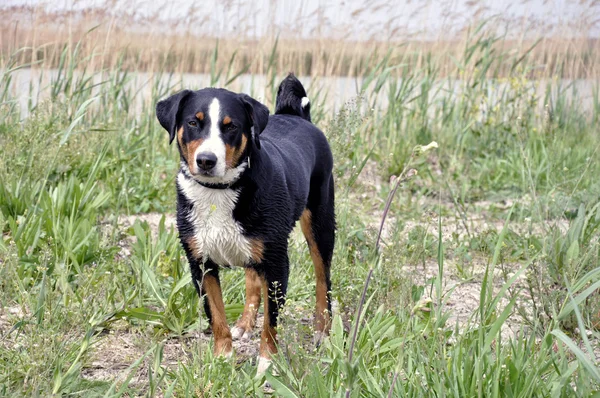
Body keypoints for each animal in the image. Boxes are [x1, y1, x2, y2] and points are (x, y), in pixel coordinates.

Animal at [155, 74, 336, 374]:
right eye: (193, 122)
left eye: (230, 126)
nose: (206, 160)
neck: (217, 193)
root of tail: (293, 115)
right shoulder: (200, 263)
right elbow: (216, 316)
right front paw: (223, 358)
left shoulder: (276, 263)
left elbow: (271, 323)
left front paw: (266, 363)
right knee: (253, 281)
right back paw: (244, 324)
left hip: (320, 225)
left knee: (323, 279)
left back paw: (323, 330)